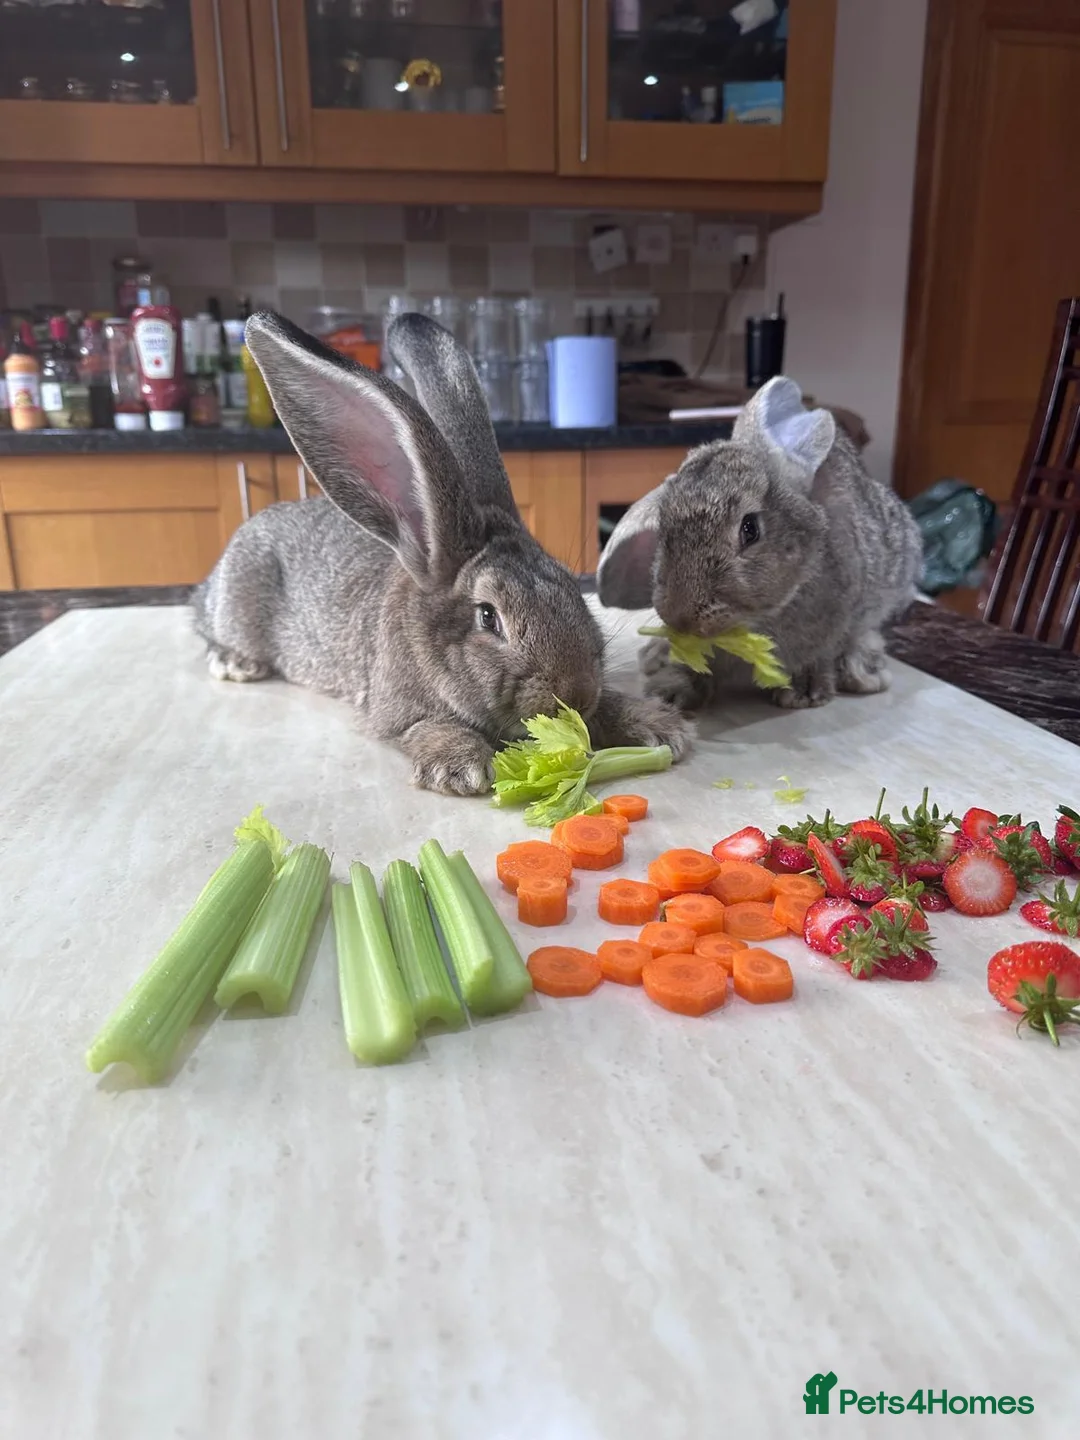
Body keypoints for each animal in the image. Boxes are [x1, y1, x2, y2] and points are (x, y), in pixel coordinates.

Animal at [191, 311, 692, 795]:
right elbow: (423, 727)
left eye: (573, 589)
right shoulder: (397, 711)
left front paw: (658, 725)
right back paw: (235, 663)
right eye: (488, 617)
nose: (578, 694)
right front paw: (458, 765)